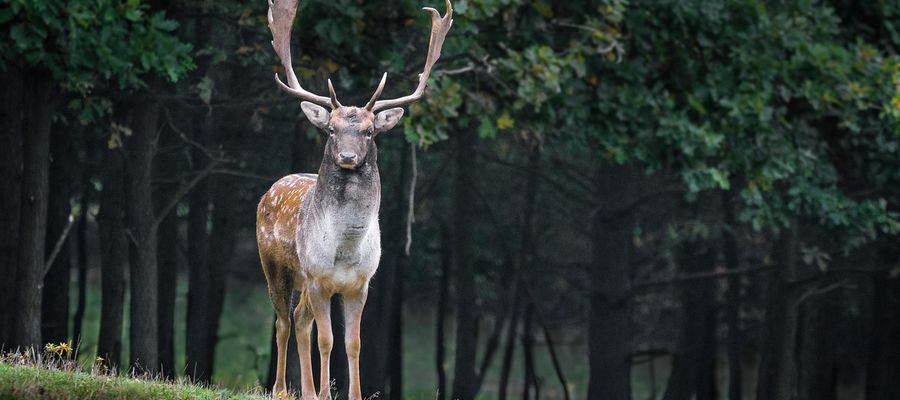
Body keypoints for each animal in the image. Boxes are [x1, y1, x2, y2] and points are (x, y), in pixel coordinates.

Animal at [255, 1, 450, 398]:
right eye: (331, 129)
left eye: (370, 131)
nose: (347, 156)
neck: (345, 250)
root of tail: (270, 190)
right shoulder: (318, 279)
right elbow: (327, 340)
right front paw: (326, 392)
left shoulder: (360, 284)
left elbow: (353, 343)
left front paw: (350, 393)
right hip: (275, 265)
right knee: (283, 320)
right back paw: (281, 388)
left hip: (303, 281)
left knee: (299, 318)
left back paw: (307, 390)